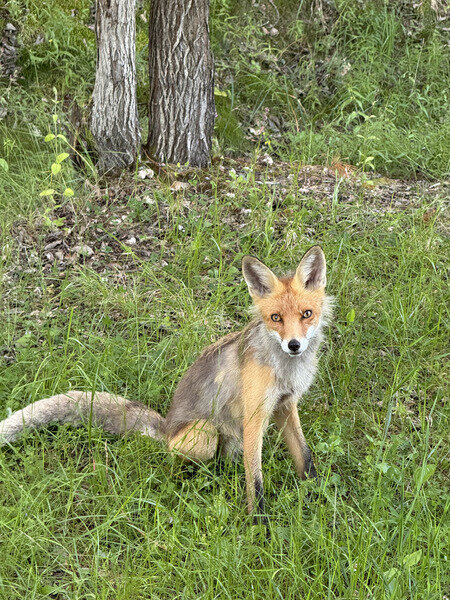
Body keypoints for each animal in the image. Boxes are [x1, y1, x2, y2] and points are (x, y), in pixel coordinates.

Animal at [0, 246, 330, 516]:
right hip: (205, 434)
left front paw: (317, 498)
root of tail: (167, 426)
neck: (285, 371)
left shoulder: (285, 405)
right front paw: (258, 526)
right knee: (175, 459)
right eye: (276, 318)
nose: (294, 345)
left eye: (306, 314)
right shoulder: (254, 418)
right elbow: (256, 483)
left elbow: (305, 457)